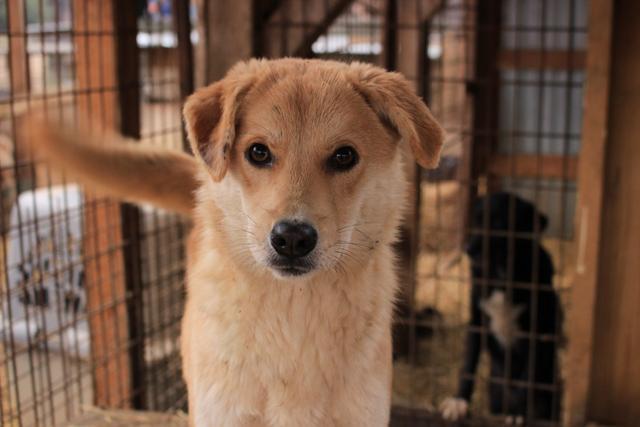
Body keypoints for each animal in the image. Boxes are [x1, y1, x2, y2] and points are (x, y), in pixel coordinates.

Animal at [442, 194, 564, 424]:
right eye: (476, 220)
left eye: (498, 224)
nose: (468, 250)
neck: (500, 277)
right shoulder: (476, 323)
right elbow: (468, 365)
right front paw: (459, 401)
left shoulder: (537, 333)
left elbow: (527, 379)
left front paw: (518, 412)